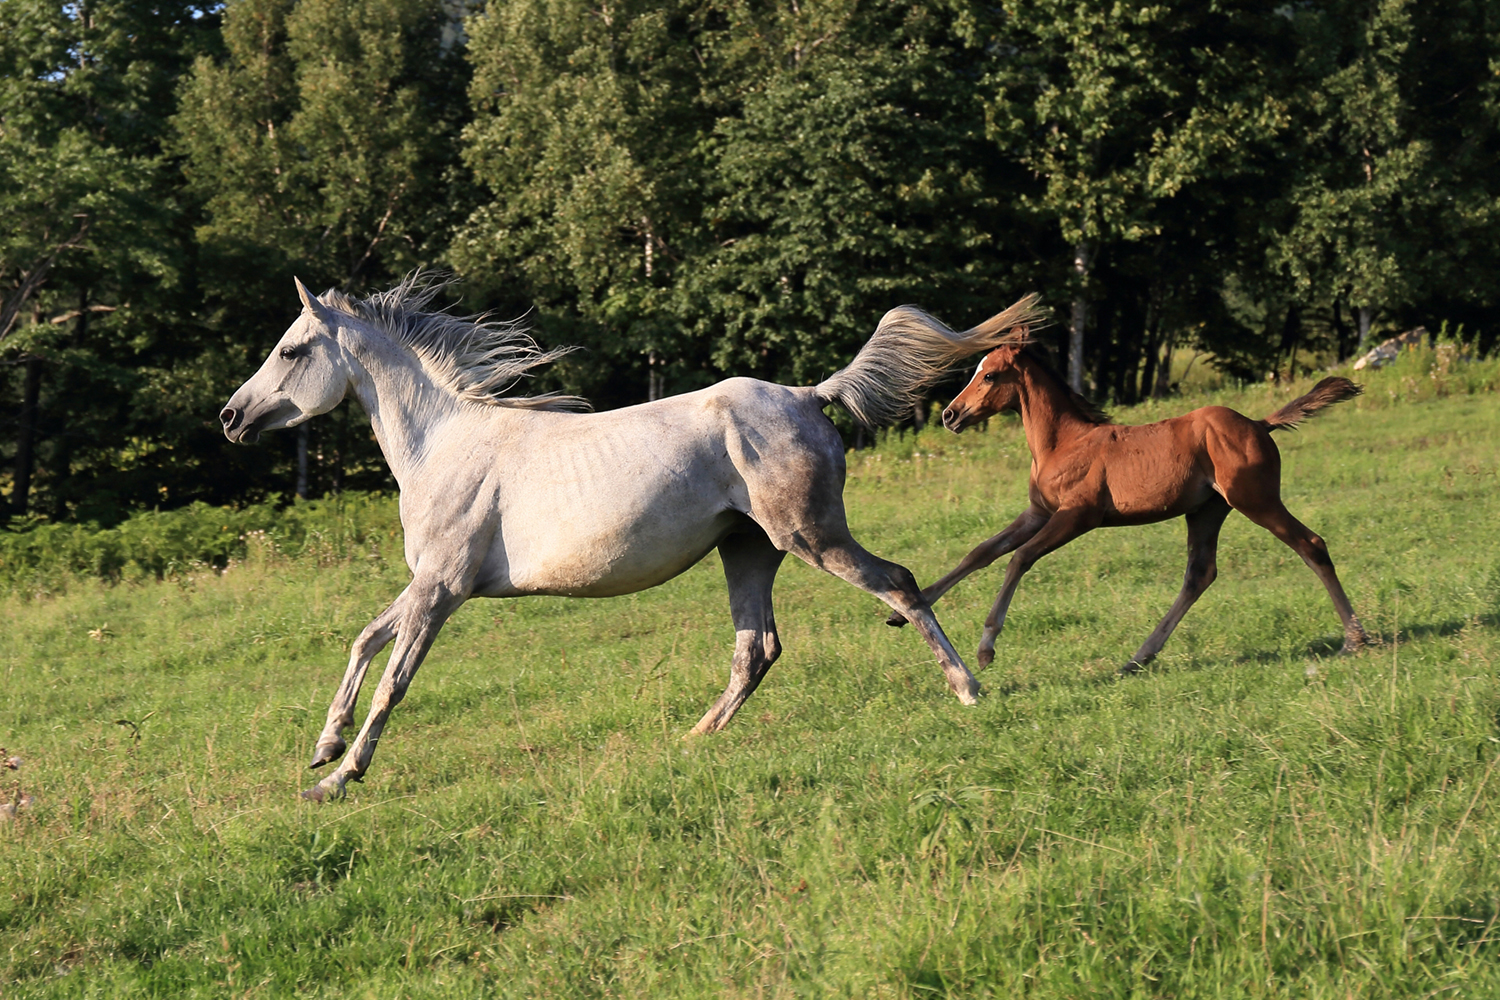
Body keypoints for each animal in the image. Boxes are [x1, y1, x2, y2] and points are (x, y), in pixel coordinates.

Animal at [219, 275, 1044, 803]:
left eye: (291, 350)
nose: (231, 417)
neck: (442, 446)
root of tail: (809, 395)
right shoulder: (432, 584)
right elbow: (363, 640)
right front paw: (325, 746)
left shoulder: (441, 590)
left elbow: (394, 679)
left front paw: (335, 780)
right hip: (748, 550)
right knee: (758, 647)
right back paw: (696, 737)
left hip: (810, 535)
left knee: (898, 585)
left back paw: (969, 689)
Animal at [888, 335, 1374, 671]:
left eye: (989, 375)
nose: (950, 415)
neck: (1062, 443)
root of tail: (1259, 423)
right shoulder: (1038, 512)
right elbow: (981, 552)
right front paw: (904, 609)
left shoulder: (1078, 516)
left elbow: (1019, 558)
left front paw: (986, 647)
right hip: (1206, 511)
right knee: (1200, 575)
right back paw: (1138, 658)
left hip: (1255, 499)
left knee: (1311, 545)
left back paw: (1355, 639)